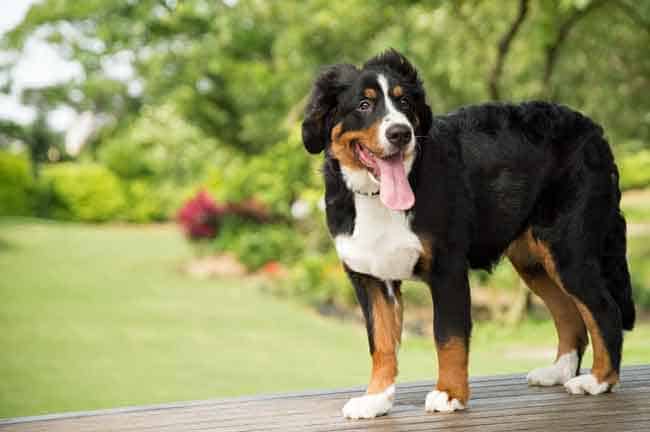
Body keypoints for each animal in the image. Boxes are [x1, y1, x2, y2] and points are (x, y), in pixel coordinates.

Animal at [302, 49, 636, 418]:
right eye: (363, 104)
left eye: (404, 104)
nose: (401, 133)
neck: (377, 198)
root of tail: (594, 130)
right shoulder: (370, 278)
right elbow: (382, 343)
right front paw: (376, 399)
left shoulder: (447, 268)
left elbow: (448, 336)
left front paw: (449, 394)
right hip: (534, 261)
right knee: (568, 313)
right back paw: (558, 371)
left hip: (568, 250)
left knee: (604, 310)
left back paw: (598, 381)